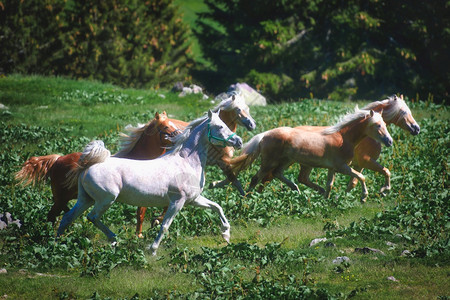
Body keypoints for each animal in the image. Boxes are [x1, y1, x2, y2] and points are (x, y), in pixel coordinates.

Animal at [14, 110, 179, 223]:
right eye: (165, 127)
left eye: (173, 124)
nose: (180, 136)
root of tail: (58, 159)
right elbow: (141, 214)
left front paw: (155, 221)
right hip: (61, 197)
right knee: (52, 216)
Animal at [58, 110, 244, 255]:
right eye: (220, 126)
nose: (239, 142)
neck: (186, 162)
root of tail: (87, 167)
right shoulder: (177, 202)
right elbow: (165, 226)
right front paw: (152, 249)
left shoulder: (193, 199)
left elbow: (217, 207)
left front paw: (226, 234)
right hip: (106, 199)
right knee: (92, 217)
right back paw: (113, 239)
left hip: (86, 199)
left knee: (68, 217)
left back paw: (56, 243)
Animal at [134, 92, 256, 238]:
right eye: (238, 109)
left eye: (248, 108)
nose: (252, 125)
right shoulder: (222, 162)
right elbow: (234, 179)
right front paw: (244, 198)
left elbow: (232, 179)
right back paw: (140, 232)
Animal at [230, 108, 392, 202]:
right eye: (377, 125)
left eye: (385, 124)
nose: (389, 141)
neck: (343, 138)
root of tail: (265, 135)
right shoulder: (342, 167)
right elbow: (361, 176)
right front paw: (365, 196)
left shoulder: (332, 168)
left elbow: (329, 184)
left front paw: (325, 200)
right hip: (269, 162)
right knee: (256, 178)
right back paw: (247, 199)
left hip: (286, 161)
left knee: (279, 174)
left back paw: (297, 190)